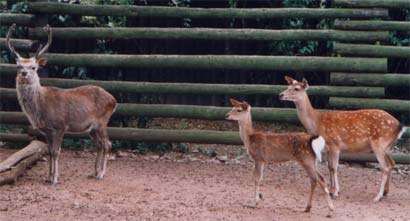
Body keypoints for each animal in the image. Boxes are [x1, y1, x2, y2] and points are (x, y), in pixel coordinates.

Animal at [6, 23, 117, 184]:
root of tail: (114, 101)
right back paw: (94, 172)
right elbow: (49, 152)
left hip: (102, 122)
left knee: (108, 144)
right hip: (92, 128)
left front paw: (55, 179)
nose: (24, 73)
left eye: (34, 67)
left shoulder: (60, 126)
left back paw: (101, 174)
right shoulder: (46, 131)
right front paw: (48, 177)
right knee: (100, 145)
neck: (40, 108)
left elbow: (56, 152)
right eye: (18, 66)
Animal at [278, 76, 406, 202]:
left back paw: (377, 196)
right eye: (288, 86)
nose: (280, 95)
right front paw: (331, 190)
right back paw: (385, 192)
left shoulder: (335, 144)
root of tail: (399, 126)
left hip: (379, 144)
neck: (317, 122)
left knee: (385, 167)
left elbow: (335, 168)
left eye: (297, 88)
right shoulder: (327, 148)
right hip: (387, 146)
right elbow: (330, 167)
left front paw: (335, 193)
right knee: (392, 162)